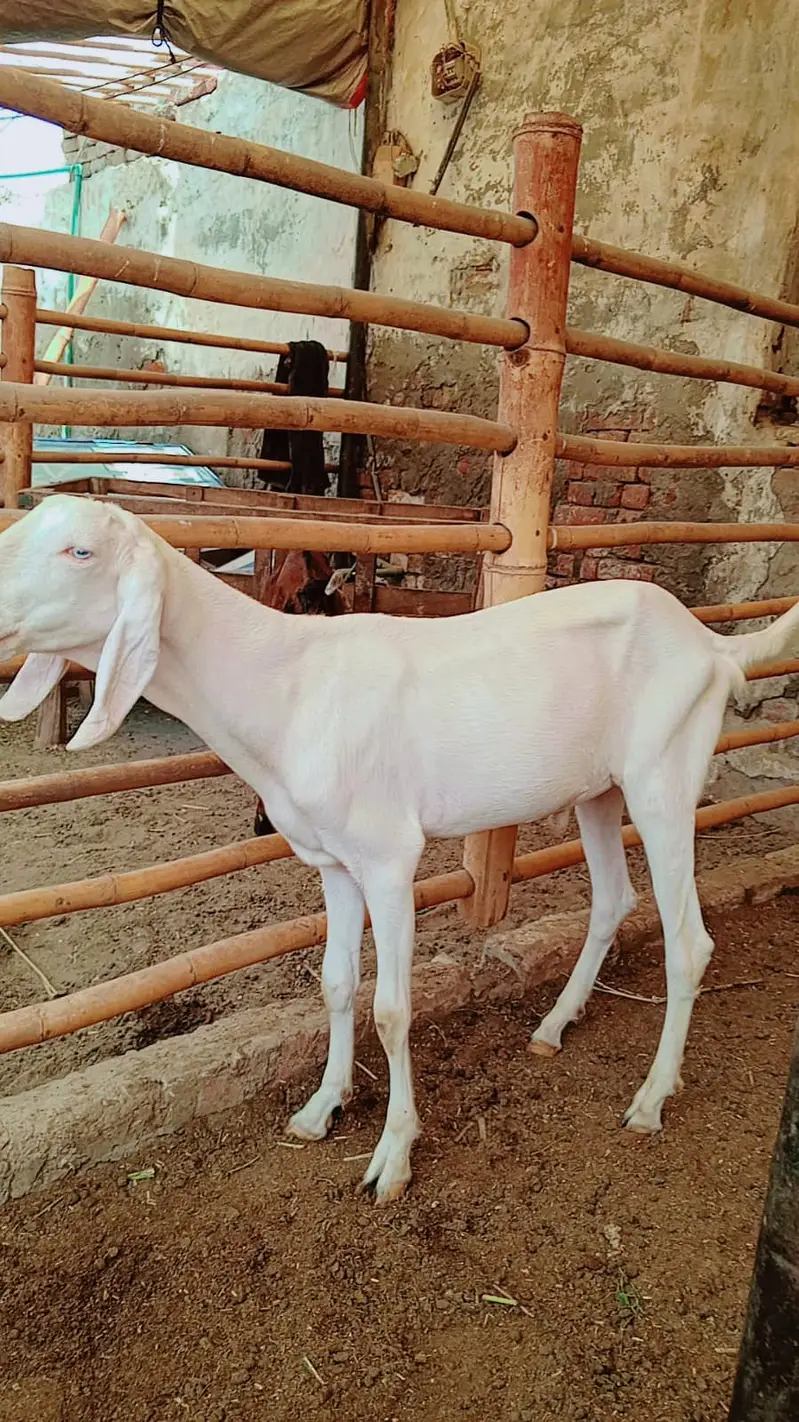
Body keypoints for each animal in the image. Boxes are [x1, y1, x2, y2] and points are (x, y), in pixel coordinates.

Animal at [2, 496, 798, 1200]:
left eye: (80, 551)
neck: (287, 687)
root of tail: (711, 643)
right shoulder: (332, 859)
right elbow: (335, 984)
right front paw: (321, 1109)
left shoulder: (389, 857)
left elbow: (390, 1009)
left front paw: (393, 1156)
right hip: (598, 789)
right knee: (612, 898)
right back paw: (552, 1026)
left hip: (664, 777)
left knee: (688, 941)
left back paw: (651, 1097)